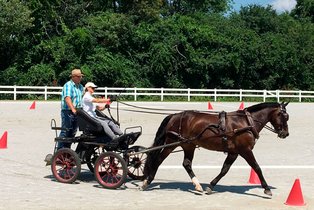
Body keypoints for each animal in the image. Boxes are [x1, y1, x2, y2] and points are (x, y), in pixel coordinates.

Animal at [142, 102, 290, 197]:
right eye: (284, 116)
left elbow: (224, 169)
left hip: (189, 145)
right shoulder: (245, 150)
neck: (246, 123)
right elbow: (257, 167)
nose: (285, 134)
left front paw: (210, 186)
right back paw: (146, 182)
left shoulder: (234, 153)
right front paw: (267, 189)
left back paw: (198, 186)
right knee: (158, 160)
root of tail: (175, 115)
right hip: (171, 143)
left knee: (186, 164)